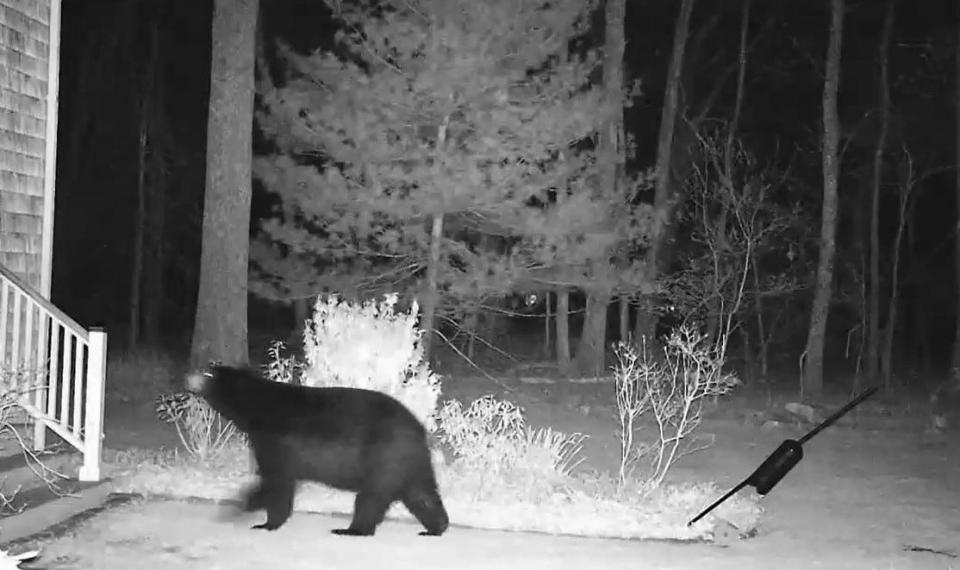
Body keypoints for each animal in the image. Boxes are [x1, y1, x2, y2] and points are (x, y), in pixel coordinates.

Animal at [187, 362, 450, 536]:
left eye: (208, 372)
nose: (187, 376)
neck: (257, 408)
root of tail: (418, 430)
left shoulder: (276, 440)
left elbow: (277, 480)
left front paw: (257, 516)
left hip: (384, 459)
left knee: (371, 498)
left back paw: (351, 530)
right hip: (407, 463)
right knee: (421, 493)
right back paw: (437, 527)